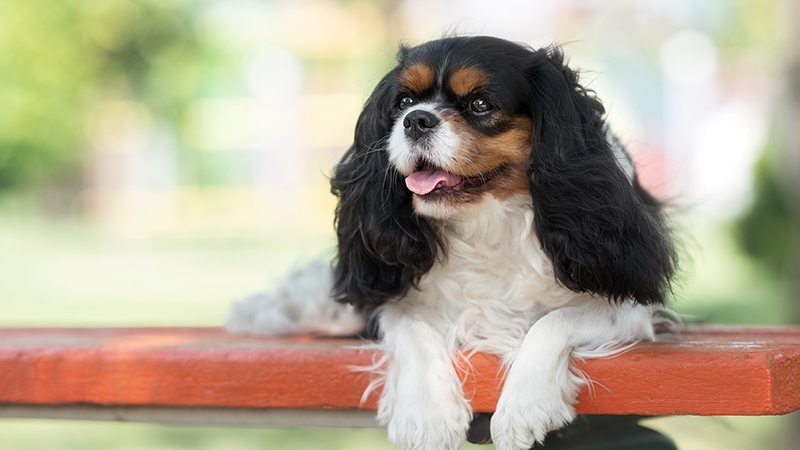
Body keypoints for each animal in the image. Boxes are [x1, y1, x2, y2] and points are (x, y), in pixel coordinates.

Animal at [225, 36, 676, 450]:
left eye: (479, 104)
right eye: (404, 101)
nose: (416, 120)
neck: (485, 220)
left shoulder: (628, 303)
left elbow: (554, 321)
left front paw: (525, 407)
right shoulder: (389, 305)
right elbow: (410, 326)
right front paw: (425, 415)